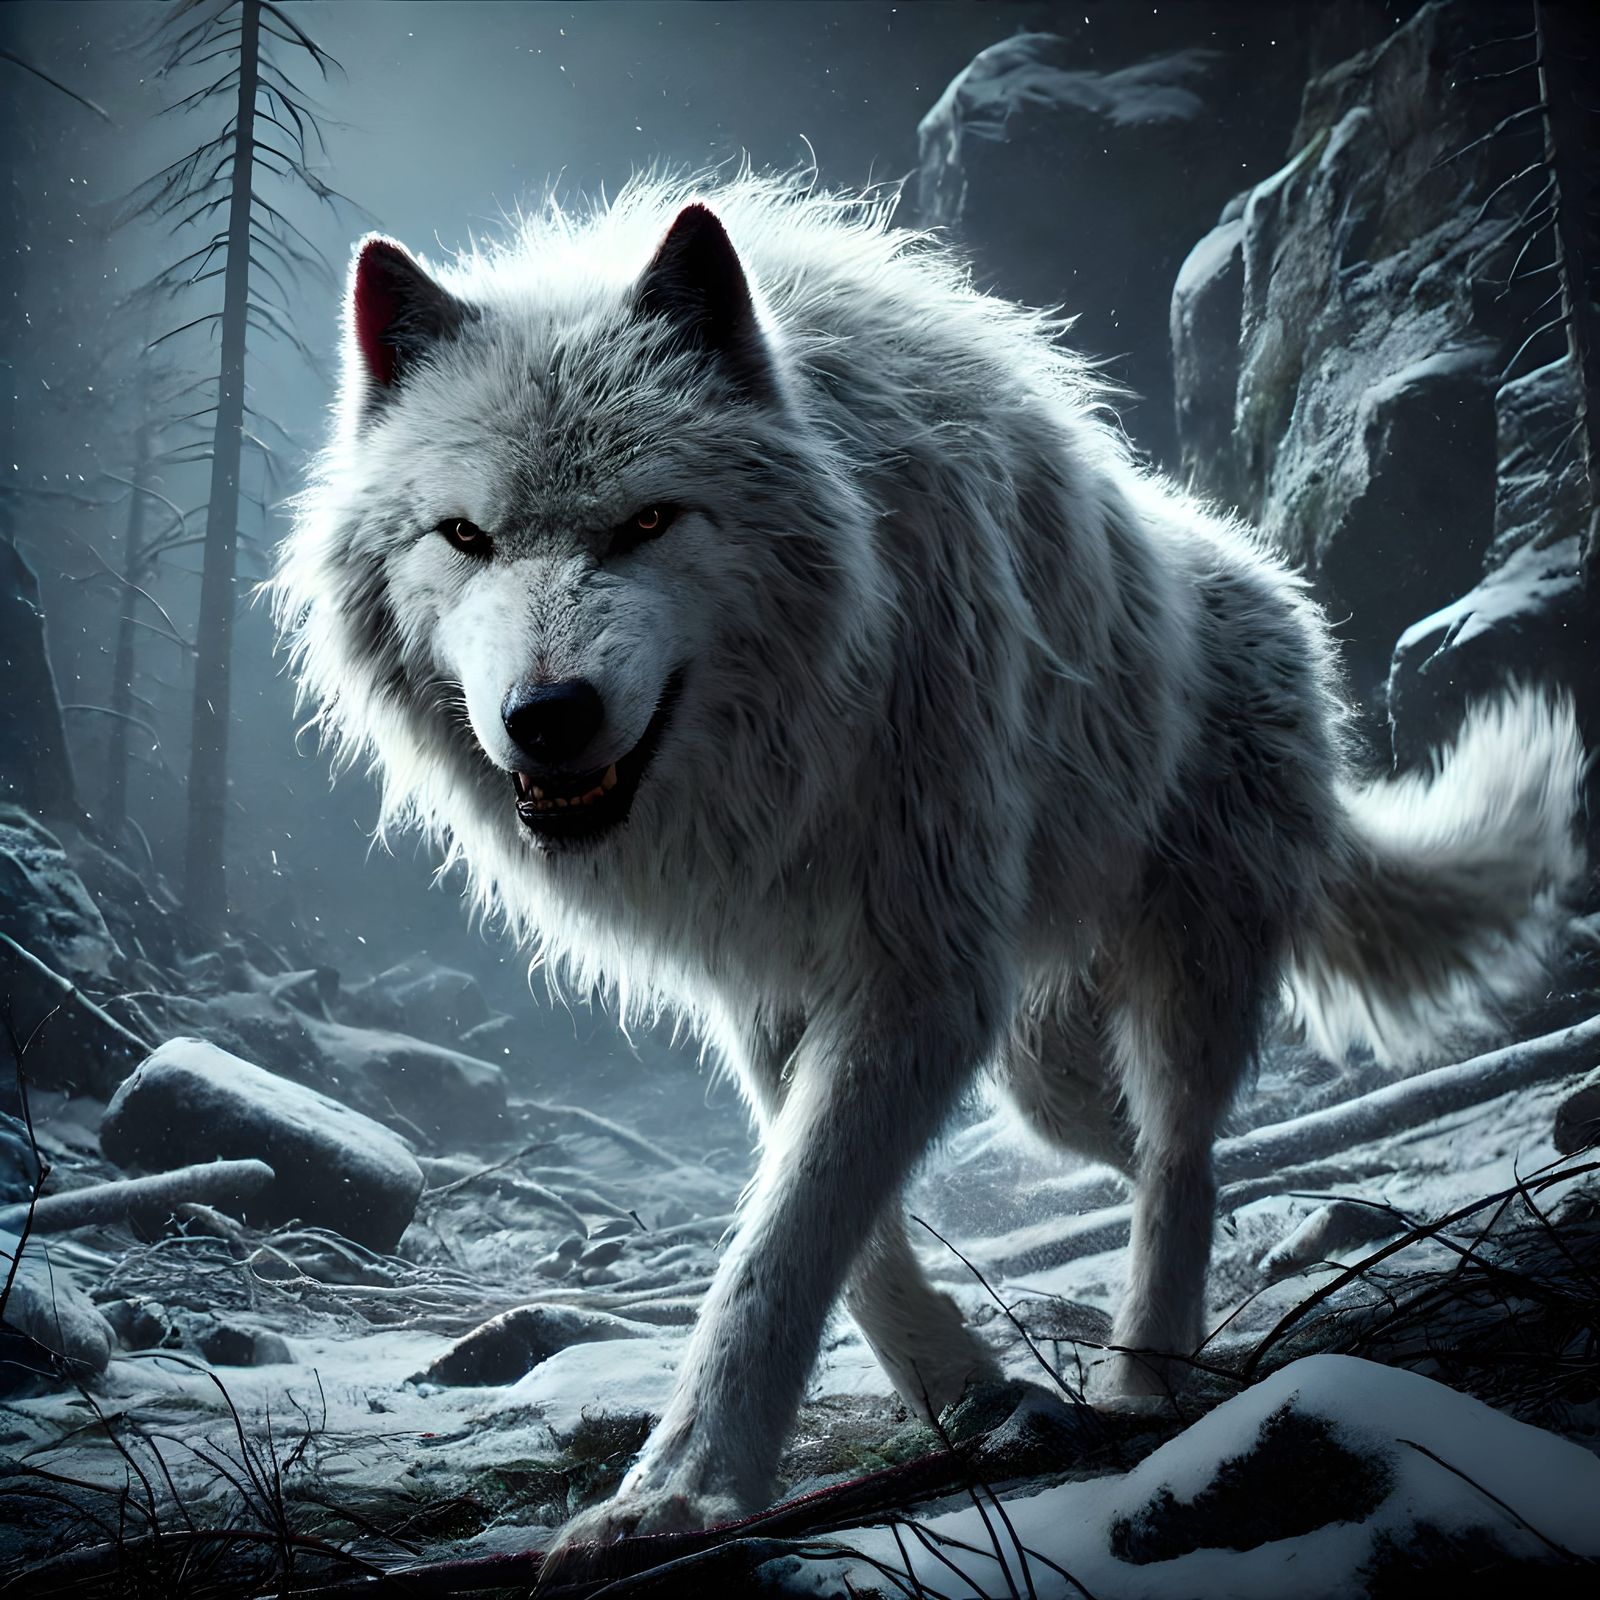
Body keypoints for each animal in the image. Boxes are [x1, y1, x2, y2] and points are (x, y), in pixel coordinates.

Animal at [273, 175, 1585, 1547]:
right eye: (463, 537)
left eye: (646, 520)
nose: (545, 716)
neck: (803, 720)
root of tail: (1279, 597)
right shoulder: (778, 989)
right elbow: (835, 1223)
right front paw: (963, 1384)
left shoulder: (916, 974)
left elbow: (786, 1236)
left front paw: (683, 1486)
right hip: (1039, 1060)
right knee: (1153, 1151)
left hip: (1180, 969)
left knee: (1178, 1157)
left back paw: (1145, 1379)